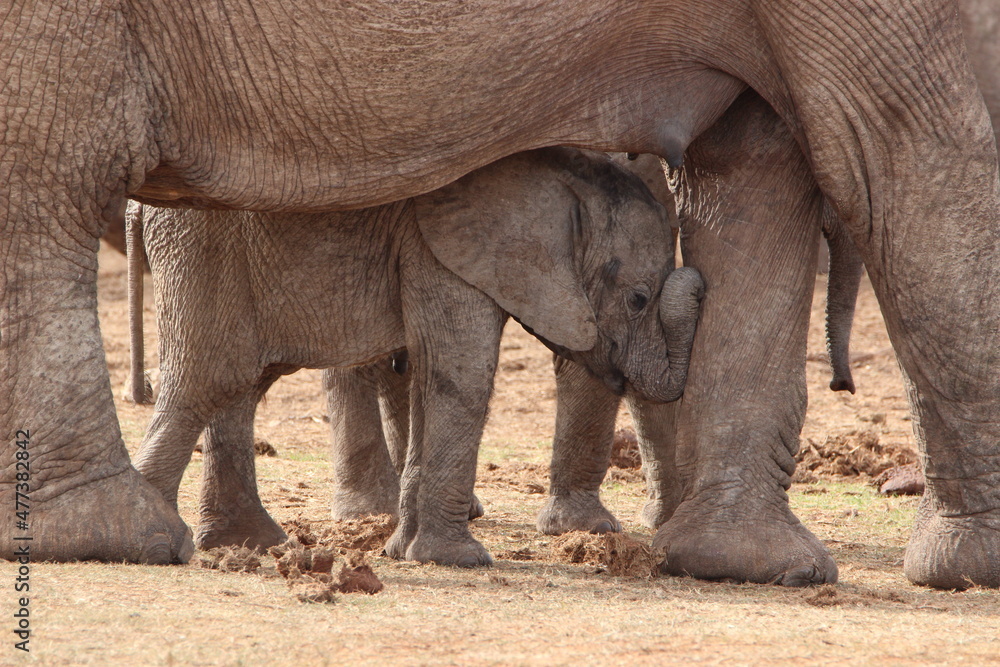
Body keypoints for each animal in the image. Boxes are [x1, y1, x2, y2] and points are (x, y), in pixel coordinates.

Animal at [128, 147, 705, 566]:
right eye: (639, 298)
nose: (696, 280)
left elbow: (429, 377)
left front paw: (402, 552)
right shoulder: (446, 248)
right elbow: (462, 375)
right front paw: (460, 560)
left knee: (242, 385)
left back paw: (252, 544)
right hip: (204, 245)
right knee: (210, 378)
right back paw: (157, 543)